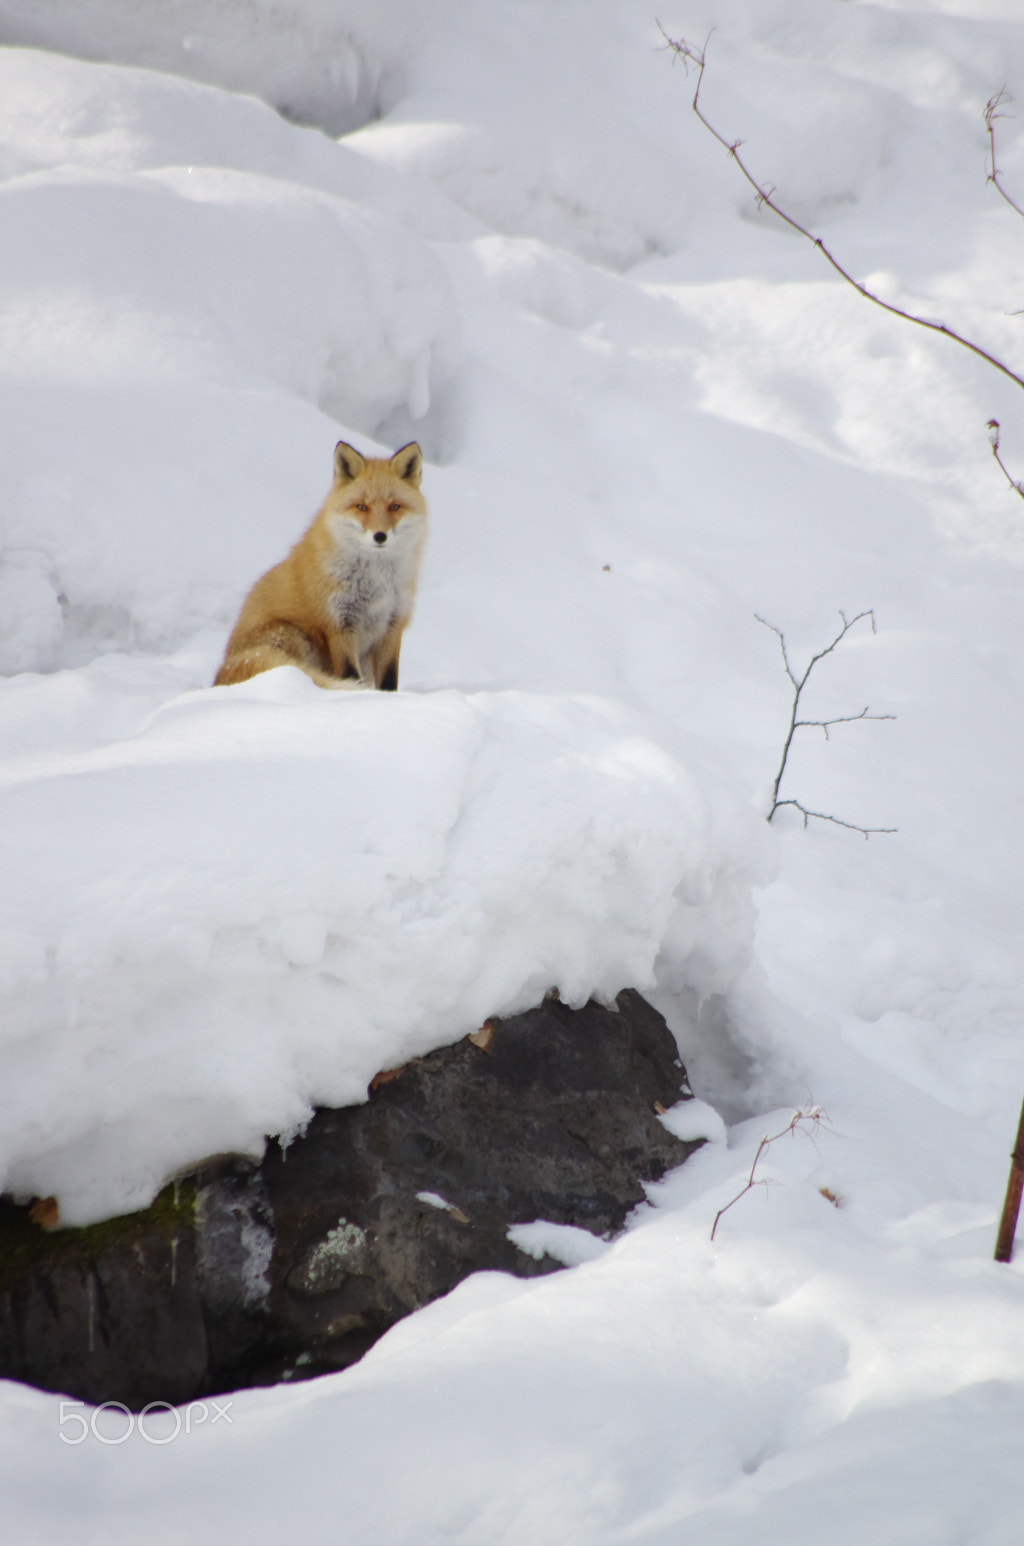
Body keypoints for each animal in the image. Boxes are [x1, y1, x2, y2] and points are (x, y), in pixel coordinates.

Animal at [215, 445, 426, 692]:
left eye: (394, 507)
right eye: (361, 507)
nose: (380, 536)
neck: (376, 580)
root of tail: (220, 674)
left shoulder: (392, 624)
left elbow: (389, 680)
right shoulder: (339, 623)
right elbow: (350, 674)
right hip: (292, 634)